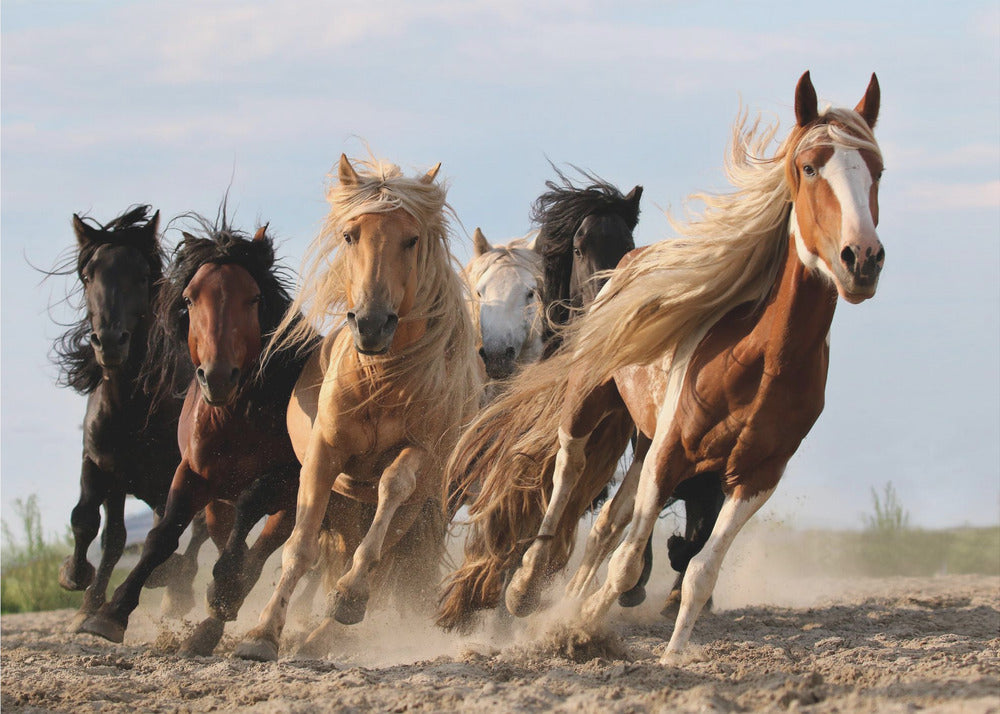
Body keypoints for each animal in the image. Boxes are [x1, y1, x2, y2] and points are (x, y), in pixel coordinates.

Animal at [51, 206, 207, 631]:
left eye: (141, 276)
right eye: (89, 276)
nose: (109, 342)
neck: (132, 409)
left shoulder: (176, 474)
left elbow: (171, 529)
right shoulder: (103, 465)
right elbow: (93, 524)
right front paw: (79, 585)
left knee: (198, 530)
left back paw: (176, 589)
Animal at [79, 213, 318, 656]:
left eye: (253, 298)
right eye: (190, 300)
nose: (218, 377)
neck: (237, 416)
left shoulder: (290, 479)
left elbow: (251, 507)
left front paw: (223, 588)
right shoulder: (192, 473)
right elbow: (163, 534)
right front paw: (111, 613)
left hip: (291, 504)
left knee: (259, 552)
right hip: (218, 503)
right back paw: (206, 626)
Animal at [233, 154, 482, 662]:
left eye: (411, 239)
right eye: (351, 235)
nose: (370, 324)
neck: (381, 381)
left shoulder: (420, 453)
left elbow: (392, 488)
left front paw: (348, 597)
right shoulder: (324, 457)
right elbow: (300, 548)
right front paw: (262, 633)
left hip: (414, 510)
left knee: (382, 558)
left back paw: (327, 629)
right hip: (347, 505)